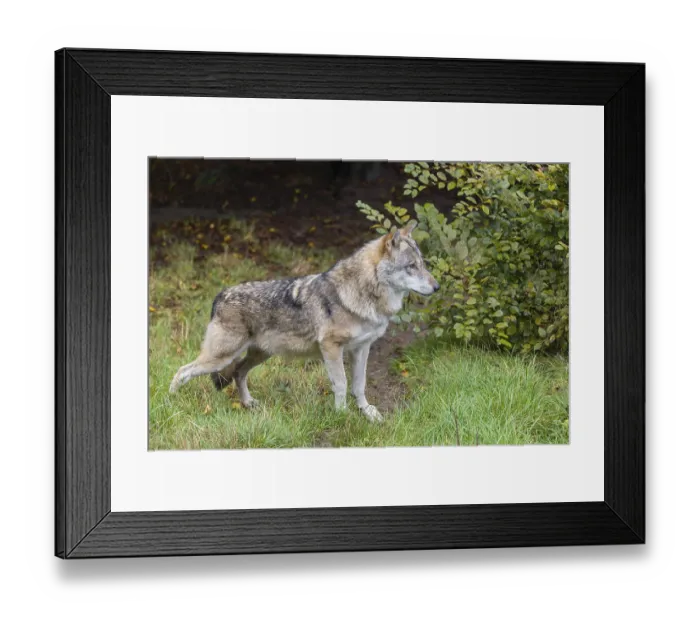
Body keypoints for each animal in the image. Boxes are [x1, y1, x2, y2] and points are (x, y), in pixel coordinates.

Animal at [169, 222, 439, 422]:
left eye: (423, 264)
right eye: (411, 266)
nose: (437, 287)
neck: (360, 293)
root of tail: (220, 295)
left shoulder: (362, 348)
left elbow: (359, 385)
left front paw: (368, 413)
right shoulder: (331, 348)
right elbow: (341, 384)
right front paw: (341, 416)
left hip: (259, 355)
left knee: (238, 373)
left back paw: (248, 403)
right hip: (220, 358)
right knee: (181, 371)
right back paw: (170, 404)